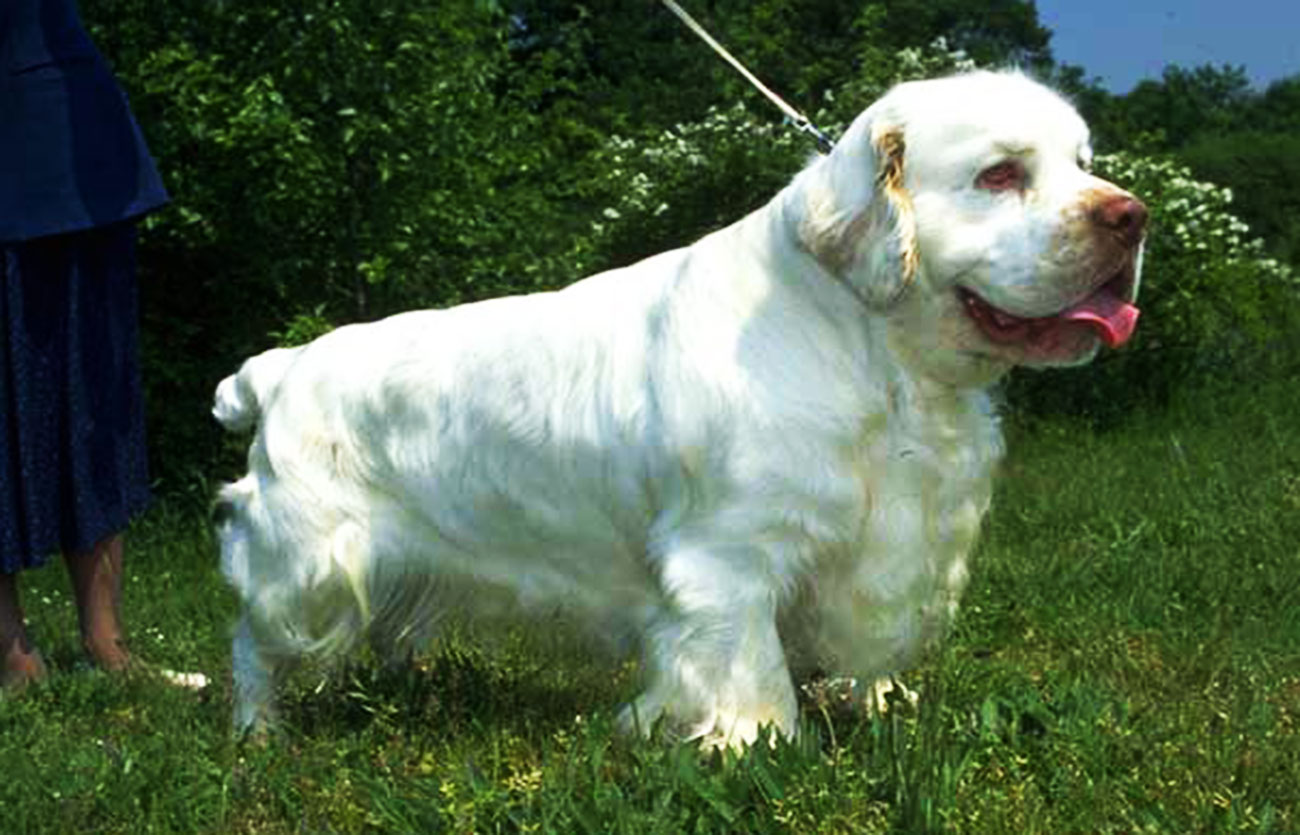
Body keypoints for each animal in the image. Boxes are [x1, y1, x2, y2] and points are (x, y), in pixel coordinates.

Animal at [213, 71, 1149, 743]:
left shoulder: (888, 537)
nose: (1132, 218)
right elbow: (748, 666)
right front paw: (752, 745)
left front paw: (880, 701)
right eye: (1000, 174)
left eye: (1082, 162)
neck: (872, 349)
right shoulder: (729, 555)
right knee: (252, 642)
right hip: (305, 564)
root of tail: (283, 366)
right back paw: (258, 734)